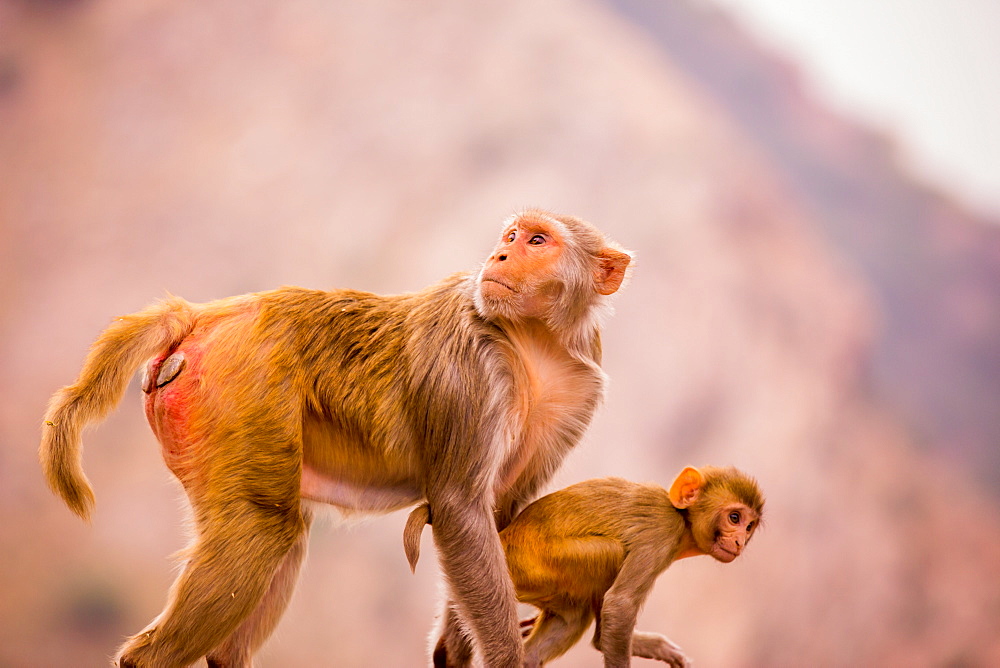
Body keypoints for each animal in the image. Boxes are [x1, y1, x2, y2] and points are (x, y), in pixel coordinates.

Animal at [41, 211, 632, 668]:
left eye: (538, 240)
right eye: (512, 235)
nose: (500, 256)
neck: (533, 341)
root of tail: (209, 313)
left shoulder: (578, 390)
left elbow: (500, 515)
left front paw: (453, 651)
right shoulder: (472, 370)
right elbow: (462, 510)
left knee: (280, 533)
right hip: (241, 388)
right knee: (263, 529)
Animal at [402, 468, 760, 664]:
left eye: (750, 526)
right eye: (734, 517)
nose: (740, 541)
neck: (682, 521)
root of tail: (503, 538)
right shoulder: (661, 535)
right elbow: (619, 604)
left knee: (572, 616)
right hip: (535, 564)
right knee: (611, 554)